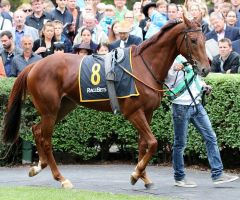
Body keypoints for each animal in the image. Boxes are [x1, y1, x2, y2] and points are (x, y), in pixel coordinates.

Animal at [1, 16, 210, 188]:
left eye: (204, 40)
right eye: (193, 40)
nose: (206, 68)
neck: (144, 66)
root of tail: (34, 65)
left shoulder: (147, 112)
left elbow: (143, 143)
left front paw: (143, 176)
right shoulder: (133, 112)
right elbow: (152, 142)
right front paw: (136, 173)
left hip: (63, 106)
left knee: (37, 130)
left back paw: (38, 167)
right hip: (50, 110)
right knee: (45, 139)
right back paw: (61, 178)